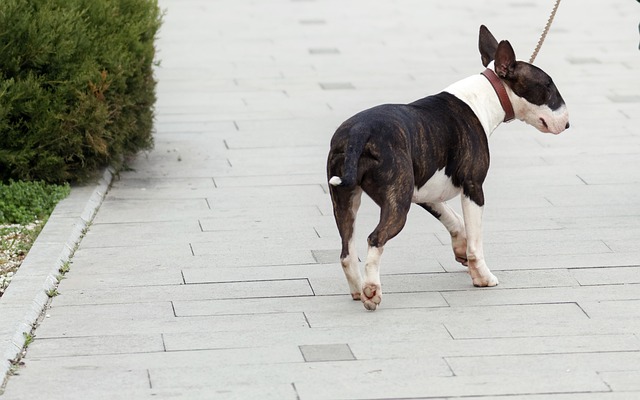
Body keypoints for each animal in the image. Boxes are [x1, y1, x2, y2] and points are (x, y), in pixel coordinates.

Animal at [328, 25, 568, 312]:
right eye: (548, 86)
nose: (567, 123)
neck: (486, 96)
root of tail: (359, 131)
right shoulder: (473, 186)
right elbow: (476, 239)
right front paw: (482, 277)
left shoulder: (423, 190)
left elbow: (452, 218)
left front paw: (461, 250)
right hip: (397, 204)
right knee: (375, 238)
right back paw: (371, 290)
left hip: (347, 197)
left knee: (346, 250)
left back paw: (357, 289)